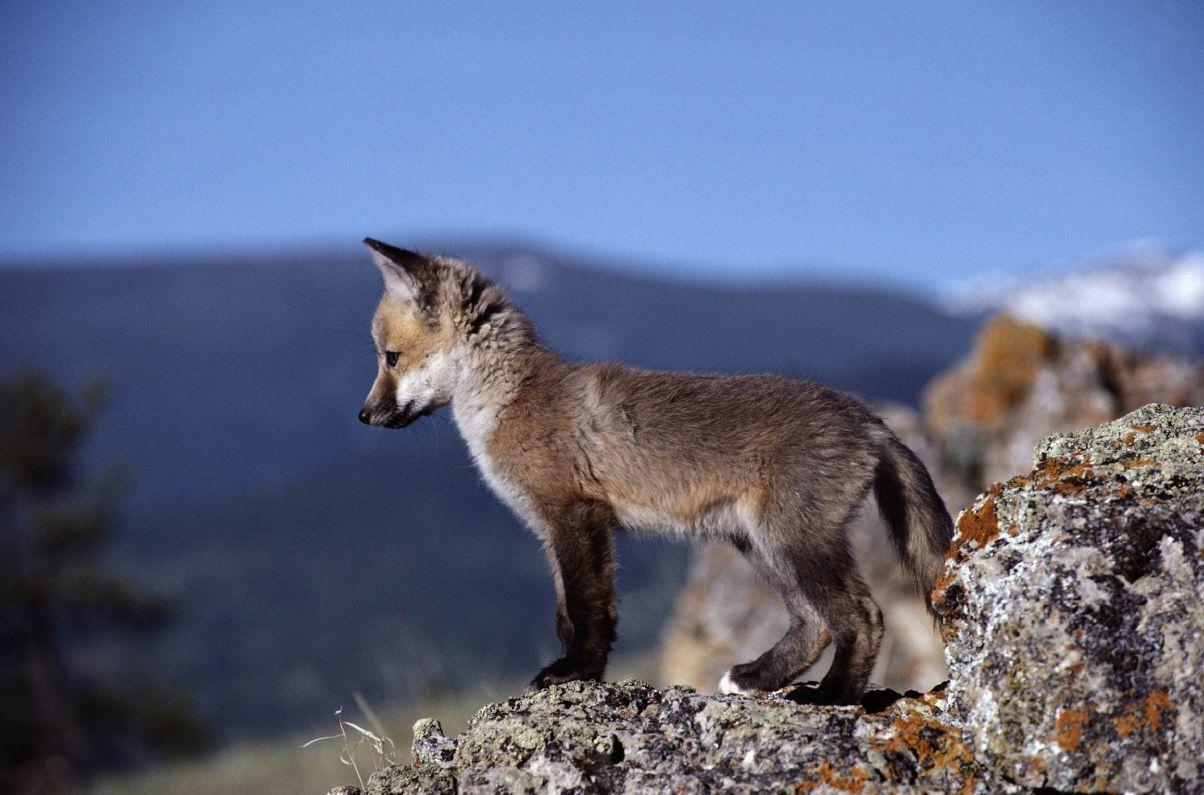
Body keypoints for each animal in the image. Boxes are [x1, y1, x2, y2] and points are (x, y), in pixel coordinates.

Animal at [357, 238, 954, 704]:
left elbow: (589, 609)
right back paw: (757, 678)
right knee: (814, 625)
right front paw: (577, 673)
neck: (512, 398)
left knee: (862, 615)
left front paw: (575, 674)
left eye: (390, 358)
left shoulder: (576, 515)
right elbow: (566, 613)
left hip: (794, 541)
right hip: (761, 544)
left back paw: (835, 698)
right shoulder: (550, 530)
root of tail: (867, 417)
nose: (364, 416)